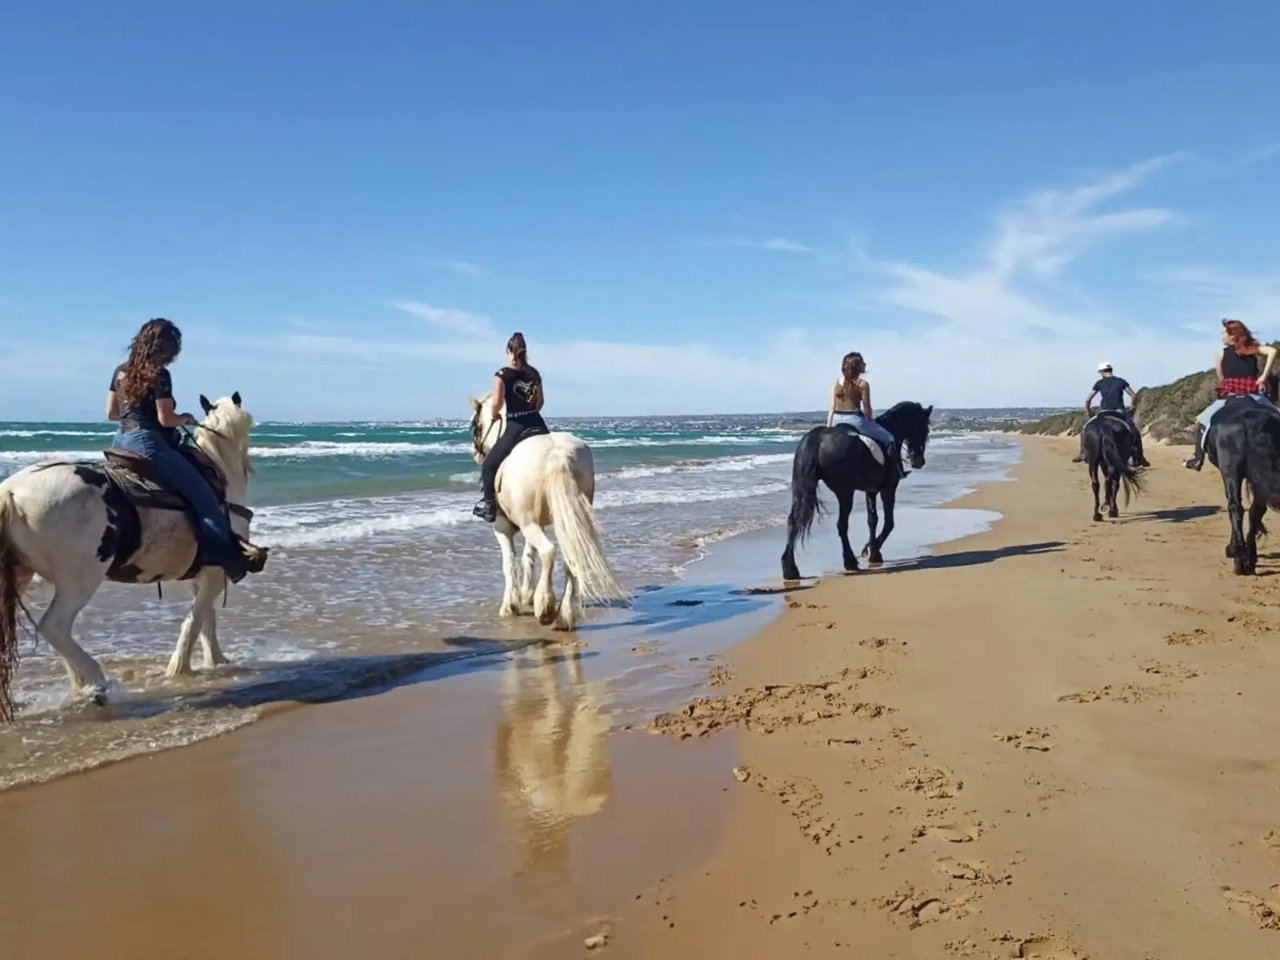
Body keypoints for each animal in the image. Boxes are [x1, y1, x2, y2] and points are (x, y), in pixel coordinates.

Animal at [0, 394, 257, 719]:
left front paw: (215, 663)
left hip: (21, 573)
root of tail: (11, 492)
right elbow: (196, 620)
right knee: (54, 626)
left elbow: (205, 620)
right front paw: (180, 669)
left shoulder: (205, 573)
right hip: (80, 578)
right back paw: (95, 683)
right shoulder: (214, 572)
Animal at [468, 396, 628, 629]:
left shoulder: (502, 527)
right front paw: (526, 595)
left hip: (530, 525)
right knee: (571, 558)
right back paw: (564, 615)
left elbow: (509, 563)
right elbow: (528, 556)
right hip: (566, 521)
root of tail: (557, 455)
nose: (476, 452)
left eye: (475, 426)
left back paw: (545, 606)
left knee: (548, 551)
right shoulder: (538, 523)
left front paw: (510, 606)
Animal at [780, 401, 934, 581]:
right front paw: (872, 550)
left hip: (802, 489)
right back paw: (850, 561)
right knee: (842, 525)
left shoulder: (870, 490)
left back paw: (790, 569)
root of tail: (816, 440)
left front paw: (873, 551)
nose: (919, 461)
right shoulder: (889, 488)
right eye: (925, 429)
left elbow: (872, 520)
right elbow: (889, 522)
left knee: (793, 520)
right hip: (845, 492)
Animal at [1202, 395, 1280, 574]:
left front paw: (1233, 550)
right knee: (1255, 510)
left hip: (1230, 470)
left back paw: (1239, 560)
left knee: (1235, 507)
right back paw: (1249, 558)